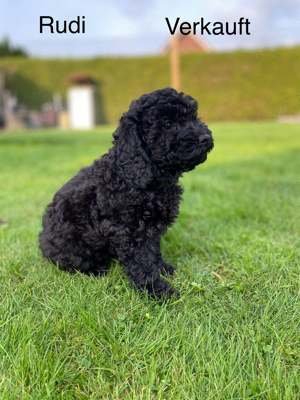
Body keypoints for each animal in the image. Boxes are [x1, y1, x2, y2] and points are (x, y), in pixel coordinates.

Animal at [39, 89, 213, 298]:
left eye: (194, 117)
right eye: (168, 125)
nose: (206, 137)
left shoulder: (150, 228)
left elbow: (153, 251)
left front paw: (163, 269)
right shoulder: (128, 230)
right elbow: (142, 261)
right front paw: (158, 292)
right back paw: (97, 269)